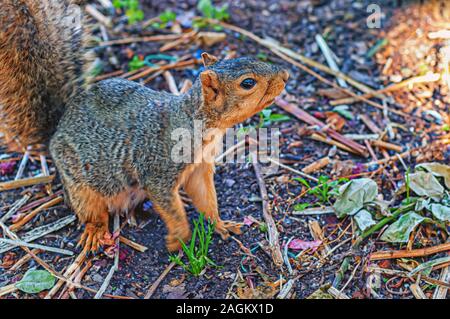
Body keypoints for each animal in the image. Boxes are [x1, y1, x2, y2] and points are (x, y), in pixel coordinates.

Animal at [0, 1, 288, 254]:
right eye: (248, 83)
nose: (285, 75)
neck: (195, 121)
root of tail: (57, 129)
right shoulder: (158, 170)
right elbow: (169, 205)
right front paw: (178, 237)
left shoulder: (198, 169)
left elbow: (206, 199)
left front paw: (219, 224)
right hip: (80, 186)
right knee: (90, 212)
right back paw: (95, 231)